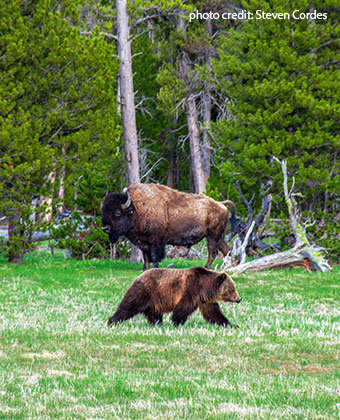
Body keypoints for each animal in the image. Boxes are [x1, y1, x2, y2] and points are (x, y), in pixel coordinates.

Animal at [101, 183, 235, 270]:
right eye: (103, 210)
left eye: (117, 212)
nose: (105, 228)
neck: (136, 209)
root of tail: (221, 204)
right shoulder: (143, 242)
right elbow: (146, 257)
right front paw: (145, 270)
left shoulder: (156, 241)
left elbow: (154, 257)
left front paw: (154, 269)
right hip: (218, 236)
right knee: (225, 249)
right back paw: (228, 267)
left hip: (213, 235)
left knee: (213, 252)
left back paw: (207, 268)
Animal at [107, 268, 240, 326]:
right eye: (232, 289)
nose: (239, 299)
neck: (205, 287)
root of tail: (140, 275)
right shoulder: (192, 288)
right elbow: (184, 306)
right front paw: (177, 322)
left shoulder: (205, 299)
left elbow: (213, 312)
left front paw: (230, 324)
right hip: (145, 290)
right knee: (129, 305)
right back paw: (112, 320)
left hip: (154, 299)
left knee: (153, 313)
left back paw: (157, 323)